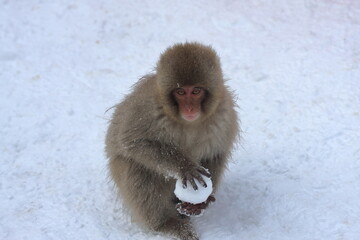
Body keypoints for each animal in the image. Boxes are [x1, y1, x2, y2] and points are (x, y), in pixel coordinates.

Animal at [105, 42, 239, 239]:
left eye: (196, 91)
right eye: (180, 92)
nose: (189, 108)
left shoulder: (224, 115)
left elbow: (215, 154)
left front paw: (202, 202)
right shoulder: (147, 109)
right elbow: (134, 142)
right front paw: (184, 166)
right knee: (138, 170)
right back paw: (166, 224)